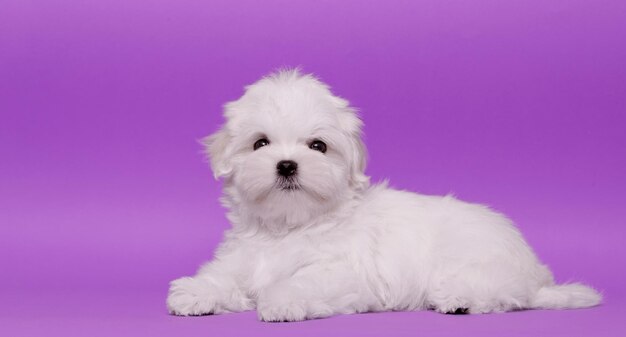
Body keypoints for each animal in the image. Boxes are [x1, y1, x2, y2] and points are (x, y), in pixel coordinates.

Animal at [166, 69, 600, 320]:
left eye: (318, 146)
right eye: (260, 144)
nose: (287, 165)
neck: (289, 226)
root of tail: (533, 270)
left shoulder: (341, 273)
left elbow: (303, 282)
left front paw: (282, 301)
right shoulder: (243, 258)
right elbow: (223, 276)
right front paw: (194, 293)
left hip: (481, 265)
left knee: (502, 294)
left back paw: (458, 300)